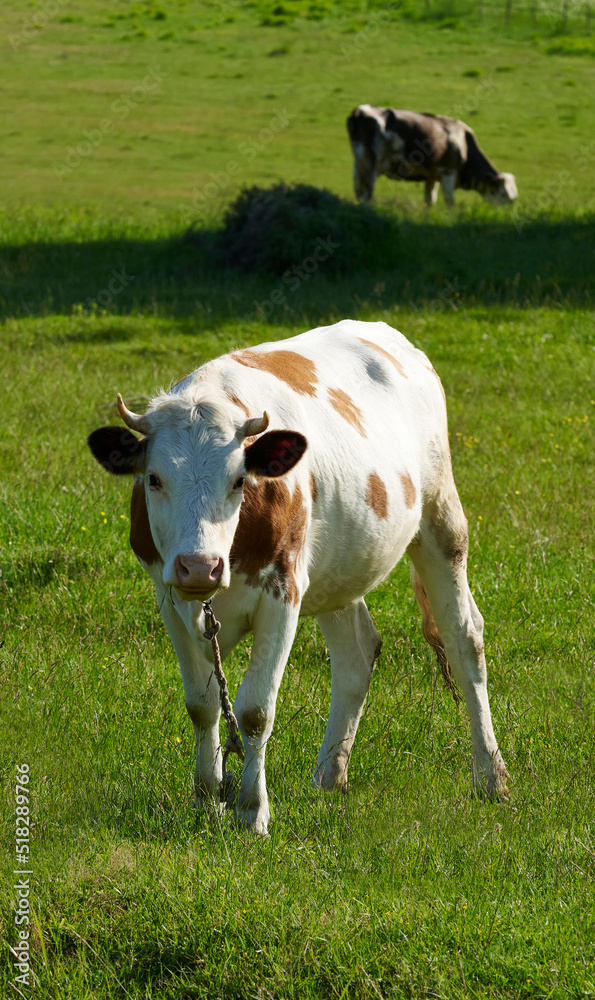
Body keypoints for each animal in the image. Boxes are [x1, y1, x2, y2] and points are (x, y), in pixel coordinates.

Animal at [87, 320, 508, 836]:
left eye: (239, 480)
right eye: (153, 479)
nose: (200, 565)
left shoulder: (282, 591)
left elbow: (254, 710)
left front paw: (252, 811)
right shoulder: (170, 596)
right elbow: (202, 703)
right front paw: (207, 800)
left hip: (441, 521)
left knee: (465, 638)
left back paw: (490, 776)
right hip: (338, 567)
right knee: (356, 652)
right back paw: (330, 774)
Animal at [346, 104, 520, 208]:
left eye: (514, 197)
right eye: (504, 194)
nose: (506, 214)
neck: (464, 143)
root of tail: (360, 110)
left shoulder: (432, 176)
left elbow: (430, 199)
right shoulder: (449, 171)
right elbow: (450, 201)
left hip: (358, 164)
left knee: (358, 189)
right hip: (371, 165)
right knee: (367, 191)